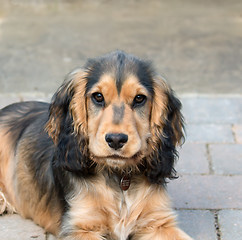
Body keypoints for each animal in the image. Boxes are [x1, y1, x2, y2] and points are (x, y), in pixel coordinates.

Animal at [0, 51, 193, 240]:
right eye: (98, 96)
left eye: (139, 98)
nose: (116, 140)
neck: (120, 179)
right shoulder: (80, 225)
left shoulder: (159, 221)